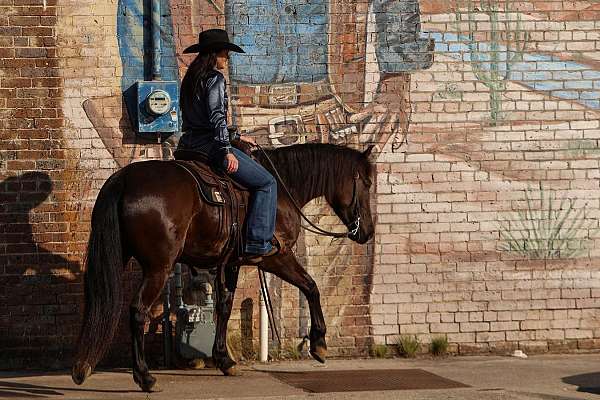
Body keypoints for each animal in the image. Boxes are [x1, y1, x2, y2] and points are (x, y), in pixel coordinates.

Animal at [71, 142, 376, 392]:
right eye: (367, 183)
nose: (368, 232)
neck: (283, 188)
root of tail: (124, 179)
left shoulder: (230, 263)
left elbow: (224, 306)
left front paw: (224, 359)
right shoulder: (276, 256)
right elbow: (311, 287)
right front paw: (319, 344)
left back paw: (82, 367)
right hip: (159, 267)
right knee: (137, 311)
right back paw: (144, 377)